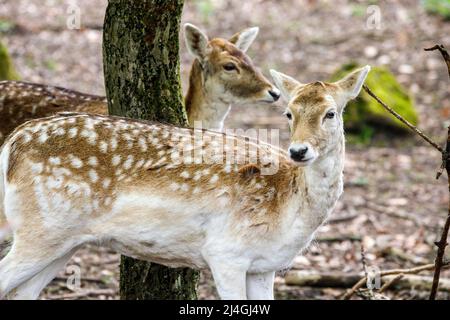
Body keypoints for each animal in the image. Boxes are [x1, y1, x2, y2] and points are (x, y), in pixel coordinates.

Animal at [0, 65, 370, 300]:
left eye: (331, 113)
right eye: (289, 114)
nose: (298, 150)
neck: (289, 209)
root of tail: (12, 144)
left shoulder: (263, 267)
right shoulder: (225, 253)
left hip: (65, 241)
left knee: (22, 293)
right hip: (41, 229)